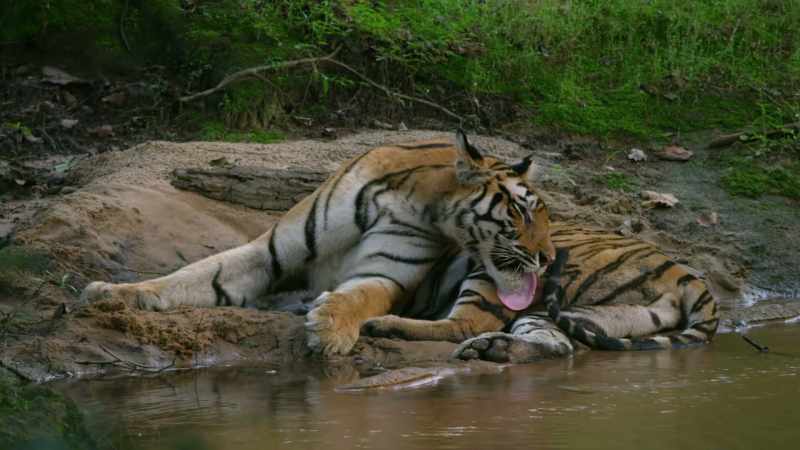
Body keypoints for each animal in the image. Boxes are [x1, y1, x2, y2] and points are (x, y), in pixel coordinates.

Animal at [81, 130, 558, 357]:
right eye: (522, 212)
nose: (548, 258)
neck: (423, 201)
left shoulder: (386, 271)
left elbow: (363, 296)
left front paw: (330, 327)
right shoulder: (267, 253)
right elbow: (193, 275)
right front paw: (113, 293)